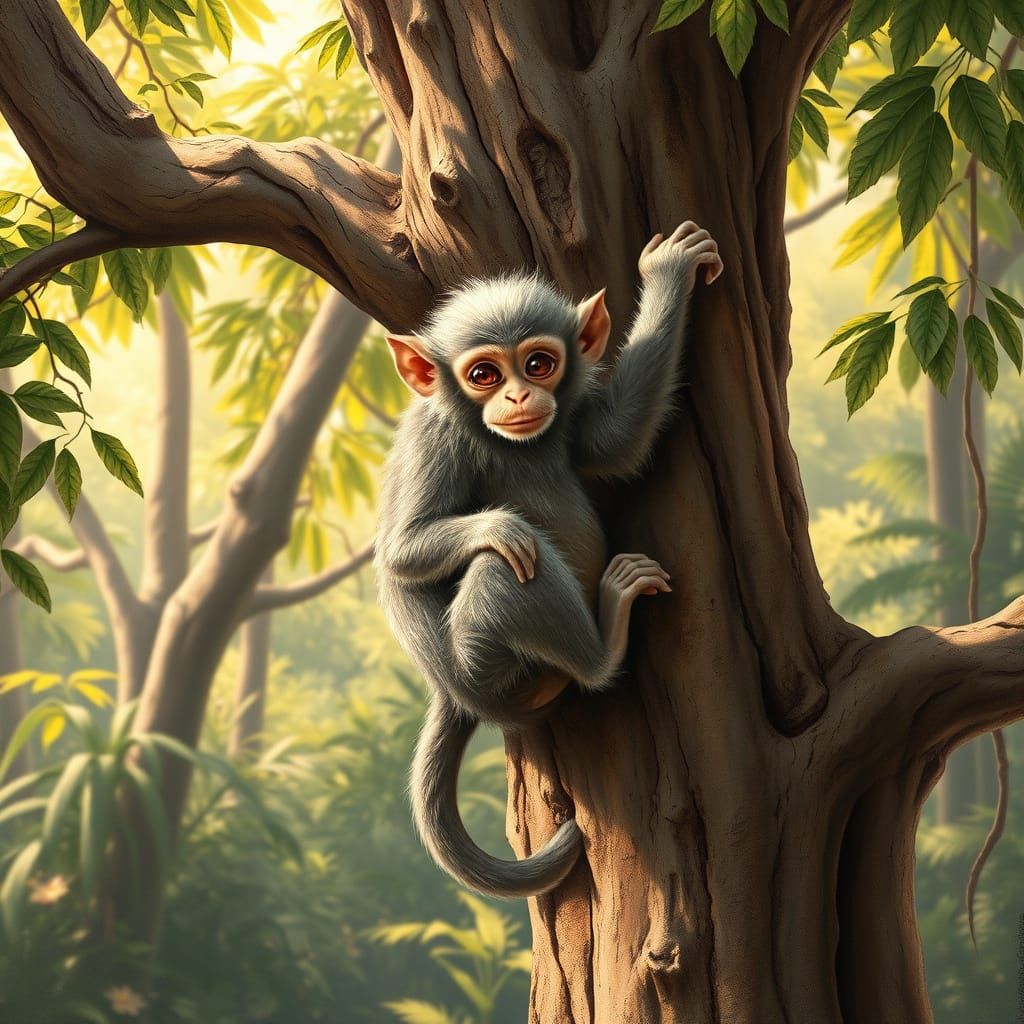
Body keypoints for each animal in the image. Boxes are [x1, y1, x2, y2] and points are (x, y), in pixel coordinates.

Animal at [375, 222, 723, 898]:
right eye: (483, 374)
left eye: (539, 363)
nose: (518, 394)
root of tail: (456, 693)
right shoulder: (436, 437)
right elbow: (402, 553)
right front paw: (501, 524)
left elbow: (616, 439)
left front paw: (669, 273)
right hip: (494, 670)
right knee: (502, 571)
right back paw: (603, 643)